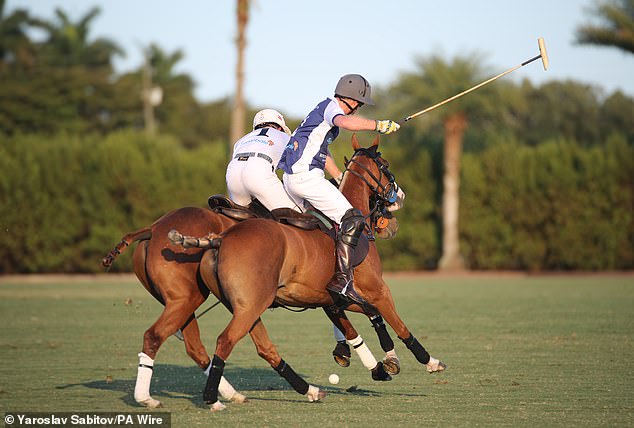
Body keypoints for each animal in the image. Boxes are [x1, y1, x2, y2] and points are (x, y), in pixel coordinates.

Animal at [102, 137, 400, 408]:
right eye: (385, 166)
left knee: (198, 347)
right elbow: (374, 316)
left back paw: (233, 393)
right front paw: (383, 361)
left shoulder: (323, 294)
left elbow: (345, 321)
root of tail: (153, 228)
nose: (392, 223)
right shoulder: (369, 288)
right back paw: (155, 397)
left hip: (193, 300)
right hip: (189, 297)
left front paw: (357, 358)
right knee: (162, 337)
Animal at [169, 135, 444, 410]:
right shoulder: (376, 289)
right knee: (225, 341)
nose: (400, 198)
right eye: (385, 166)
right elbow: (395, 322)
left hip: (245, 306)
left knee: (263, 347)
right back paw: (213, 398)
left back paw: (309, 390)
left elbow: (358, 325)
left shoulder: (331, 298)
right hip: (251, 306)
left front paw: (377, 365)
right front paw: (423, 361)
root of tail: (222, 238)